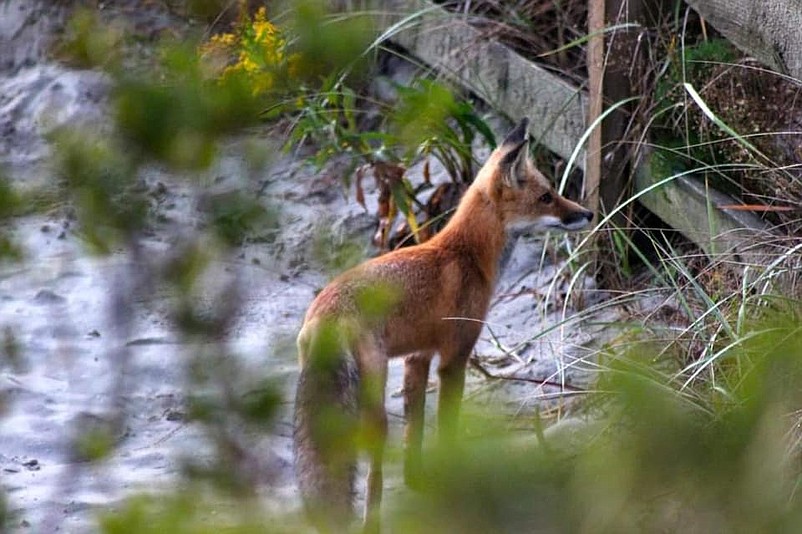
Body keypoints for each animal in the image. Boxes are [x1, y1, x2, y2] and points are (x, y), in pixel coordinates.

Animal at [290, 119, 592, 532]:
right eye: (547, 197)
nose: (588, 213)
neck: (467, 255)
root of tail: (324, 310)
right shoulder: (454, 358)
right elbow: (446, 427)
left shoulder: (417, 358)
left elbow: (415, 432)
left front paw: (418, 480)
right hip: (374, 399)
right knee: (371, 467)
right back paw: (371, 522)